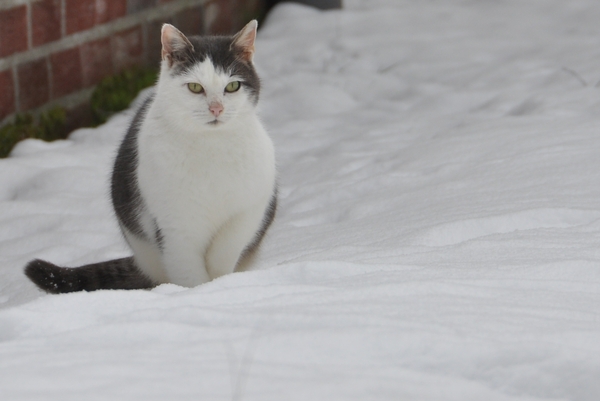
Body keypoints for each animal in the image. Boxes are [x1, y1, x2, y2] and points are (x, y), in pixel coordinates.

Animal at [23, 20, 276, 292]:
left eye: (232, 86)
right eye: (195, 87)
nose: (216, 108)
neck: (210, 146)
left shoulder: (250, 207)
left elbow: (226, 249)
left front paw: (220, 284)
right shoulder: (174, 227)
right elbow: (189, 274)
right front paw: (198, 293)